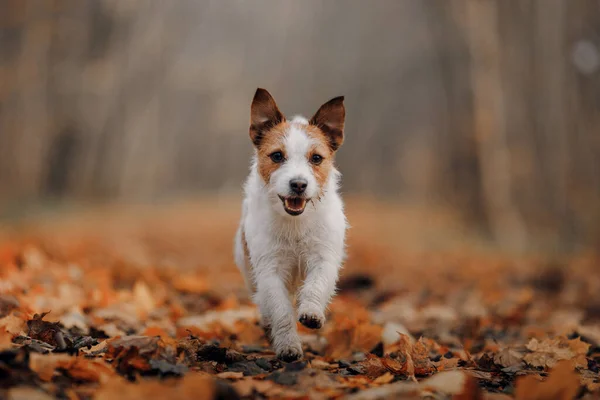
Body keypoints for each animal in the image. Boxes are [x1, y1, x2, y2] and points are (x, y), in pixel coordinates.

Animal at [234, 89, 346, 360]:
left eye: (316, 158)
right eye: (277, 156)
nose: (298, 184)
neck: (295, 223)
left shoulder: (324, 257)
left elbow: (317, 284)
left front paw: (312, 312)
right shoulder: (270, 270)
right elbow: (281, 310)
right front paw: (288, 345)